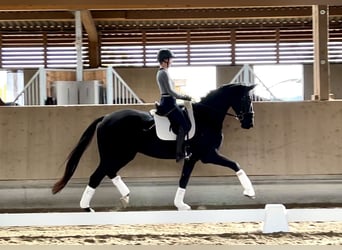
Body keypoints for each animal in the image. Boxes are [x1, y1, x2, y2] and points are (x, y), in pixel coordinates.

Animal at [52, 84, 256, 211]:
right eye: (246, 99)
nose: (249, 123)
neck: (206, 117)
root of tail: (106, 118)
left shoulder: (193, 157)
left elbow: (184, 179)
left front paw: (180, 205)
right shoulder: (207, 154)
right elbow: (235, 164)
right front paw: (250, 192)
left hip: (121, 155)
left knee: (108, 171)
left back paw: (124, 196)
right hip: (118, 154)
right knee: (97, 175)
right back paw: (87, 208)